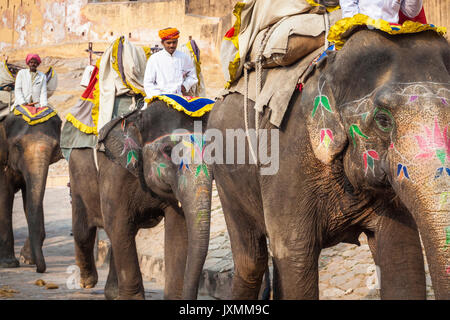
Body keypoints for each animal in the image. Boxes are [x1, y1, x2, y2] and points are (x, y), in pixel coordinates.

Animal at [0, 110, 62, 272]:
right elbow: (5, 196)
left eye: (55, 147)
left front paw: (27, 259)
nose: (40, 270)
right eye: (18, 146)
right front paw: (9, 264)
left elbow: (30, 198)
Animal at [69, 100, 213, 300]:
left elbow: (178, 230)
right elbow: (118, 225)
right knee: (83, 230)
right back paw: (87, 281)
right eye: (168, 150)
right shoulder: (115, 170)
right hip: (78, 171)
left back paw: (112, 293)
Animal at [208, 28, 450, 298]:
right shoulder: (286, 158)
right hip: (226, 180)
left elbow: (401, 256)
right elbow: (293, 255)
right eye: (383, 120)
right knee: (250, 261)